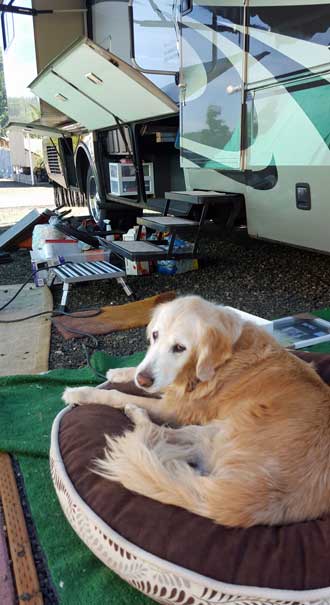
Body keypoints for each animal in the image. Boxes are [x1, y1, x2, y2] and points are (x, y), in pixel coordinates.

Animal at [62, 294, 330, 528]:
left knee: (156, 433)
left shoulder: (172, 409)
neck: (225, 357)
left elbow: (116, 395)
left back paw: (135, 413)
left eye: (180, 347)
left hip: (215, 429)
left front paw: (81, 392)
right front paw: (119, 372)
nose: (144, 380)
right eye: (155, 335)